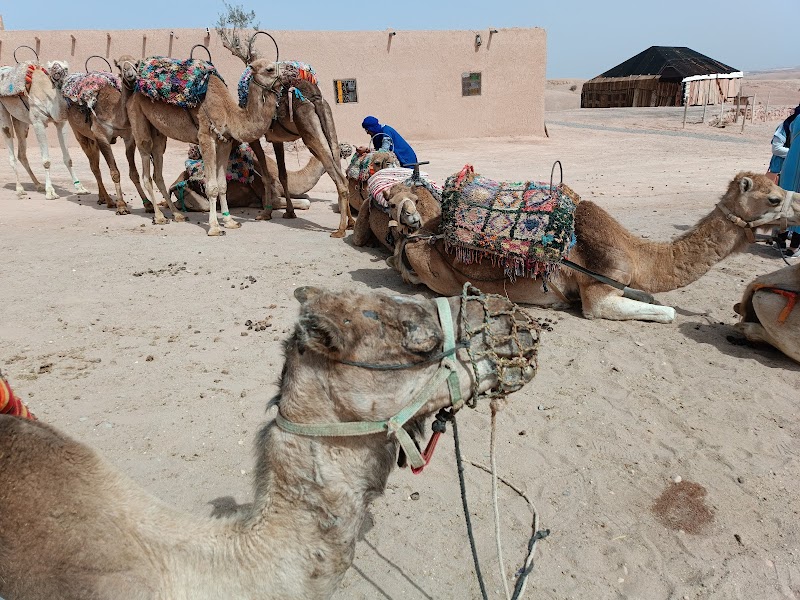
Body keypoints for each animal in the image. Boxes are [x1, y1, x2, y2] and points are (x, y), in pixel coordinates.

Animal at [0, 60, 90, 199]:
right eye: (52, 68)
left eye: (65, 68)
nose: (58, 73)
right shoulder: (38, 123)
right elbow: (46, 161)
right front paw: (51, 192)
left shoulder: (61, 123)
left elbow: (68, 159)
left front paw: (80, 188)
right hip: (3, 109)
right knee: (8, 137)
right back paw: (20, 189)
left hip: (21, 121)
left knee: (21, 152)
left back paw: (38, 185)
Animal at [64, 72, 148, 214]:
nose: (132, 78)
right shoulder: (102, 137)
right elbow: (115, 173)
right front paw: (121, 206)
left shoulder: (128, 137)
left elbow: (134, 173)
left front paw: (148, 204)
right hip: (80, 135)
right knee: (94, 167)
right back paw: (109, 201)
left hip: (93, 140)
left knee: (95, 164)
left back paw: (102, 198)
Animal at [117, 55, 282, 236]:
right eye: (269, 69)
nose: (286, 76)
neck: (229, 112)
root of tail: (132, 94)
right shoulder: (205, 138)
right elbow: (212, 187)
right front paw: (215, 227)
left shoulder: (225, 142)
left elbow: (222, 185)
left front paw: (230, 221)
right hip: (138, 119)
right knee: (146, 165)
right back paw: (159, 216)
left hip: (158, 131)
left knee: (158, 168)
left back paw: (178, 214)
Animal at [392, 172, 798, 323]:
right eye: (775, 199)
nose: (798, 208)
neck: (636, 252)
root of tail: (414, 238)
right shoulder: (597, 294)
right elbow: (667, 313)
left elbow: (650, 298)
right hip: (437, 275)